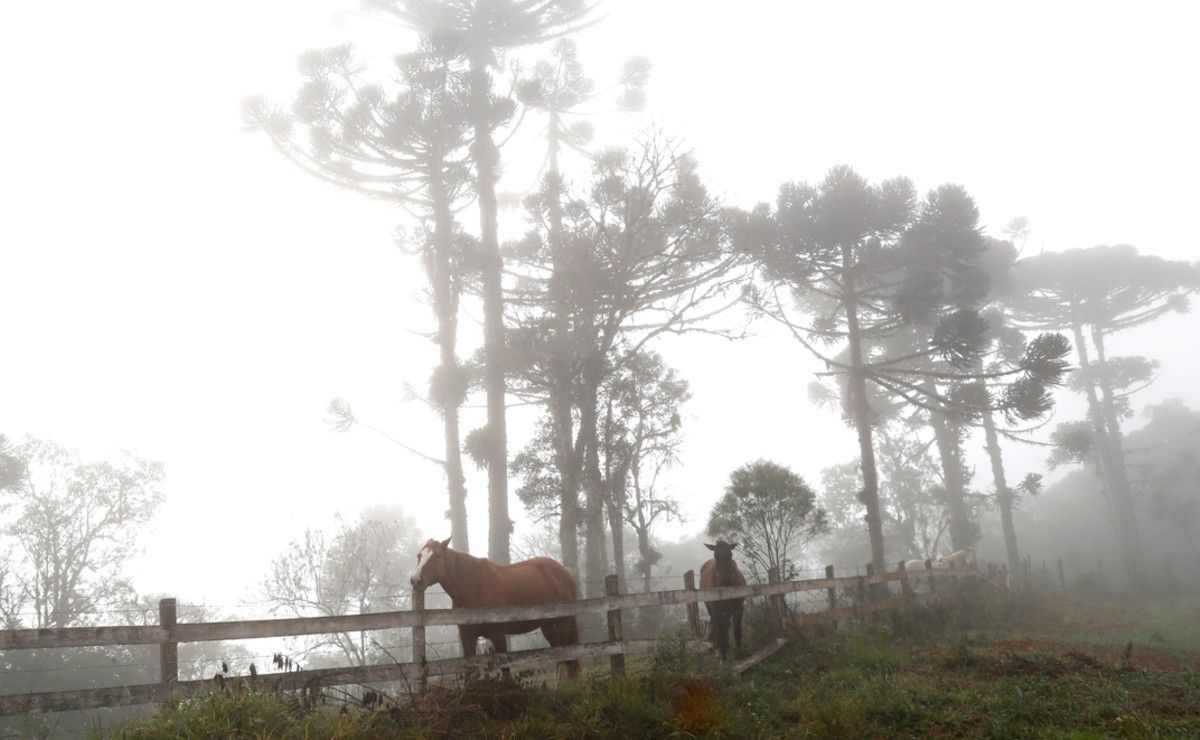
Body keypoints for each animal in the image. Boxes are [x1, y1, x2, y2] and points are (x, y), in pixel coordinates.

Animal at [408, 537, 580, 676]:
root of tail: (565, 572)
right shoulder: (467, 637)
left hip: (563, 623)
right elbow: (470, 671)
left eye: (437, 556)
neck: (474, 589)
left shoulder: (498, 636)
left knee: (565, 655)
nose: (415, 580)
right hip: (548, 626)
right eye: (419, 556)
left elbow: (506, 671)